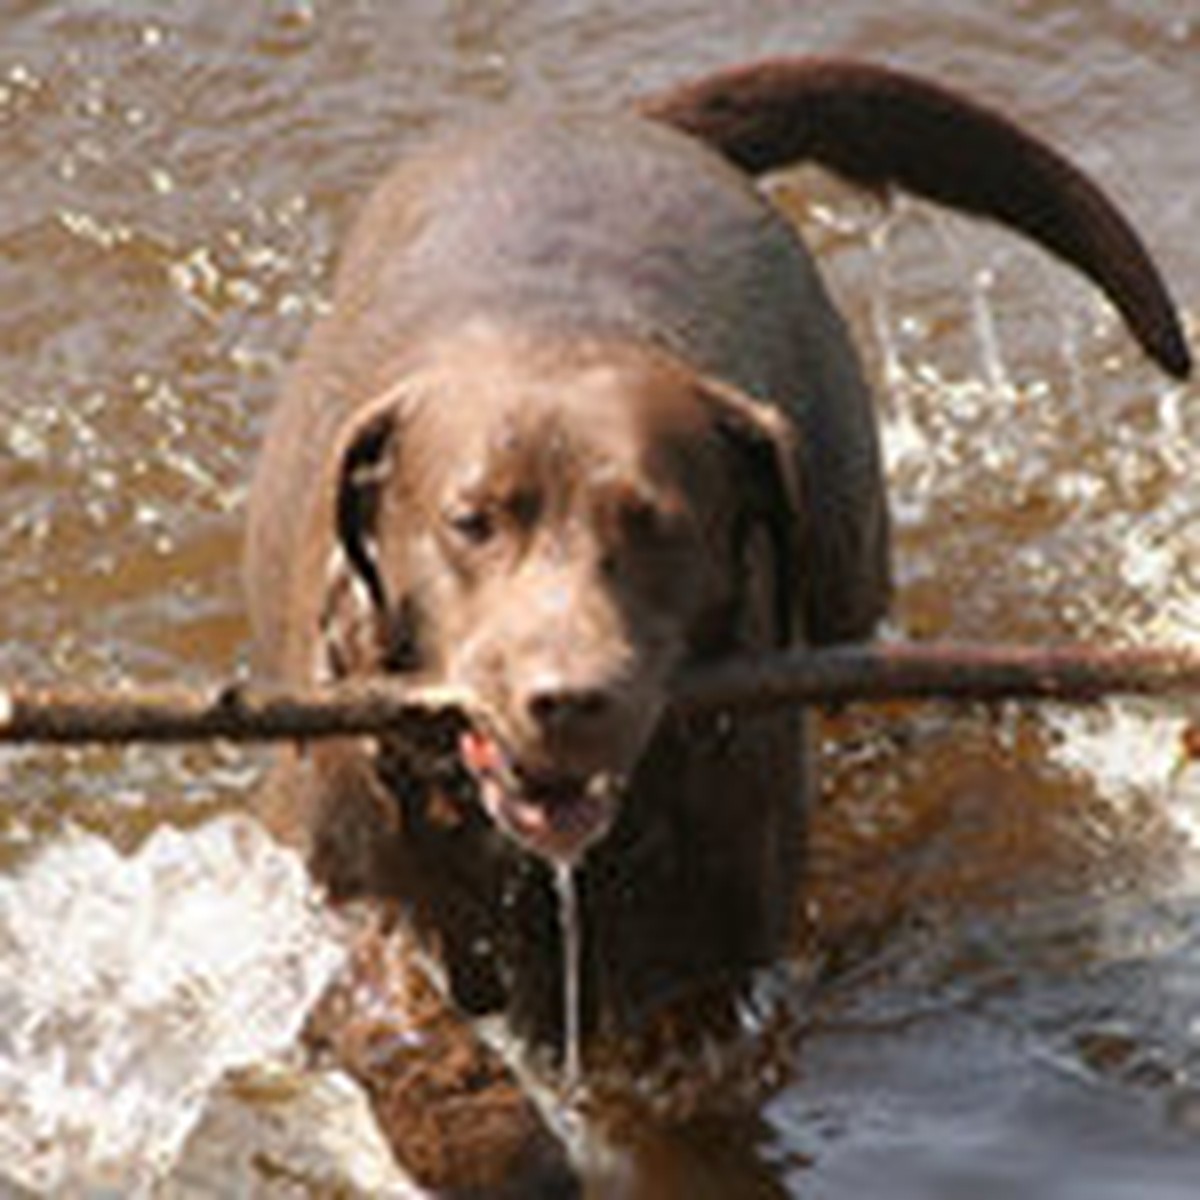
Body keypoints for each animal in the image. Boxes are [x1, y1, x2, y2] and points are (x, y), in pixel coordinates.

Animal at [243, 58, 1190, 1190]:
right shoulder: (323, 881)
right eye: (471, 522)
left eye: (656, 525)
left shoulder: (713, 948)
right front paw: (492, 1140)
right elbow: (387, 1008)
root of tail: (635, 120)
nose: (568, 699)